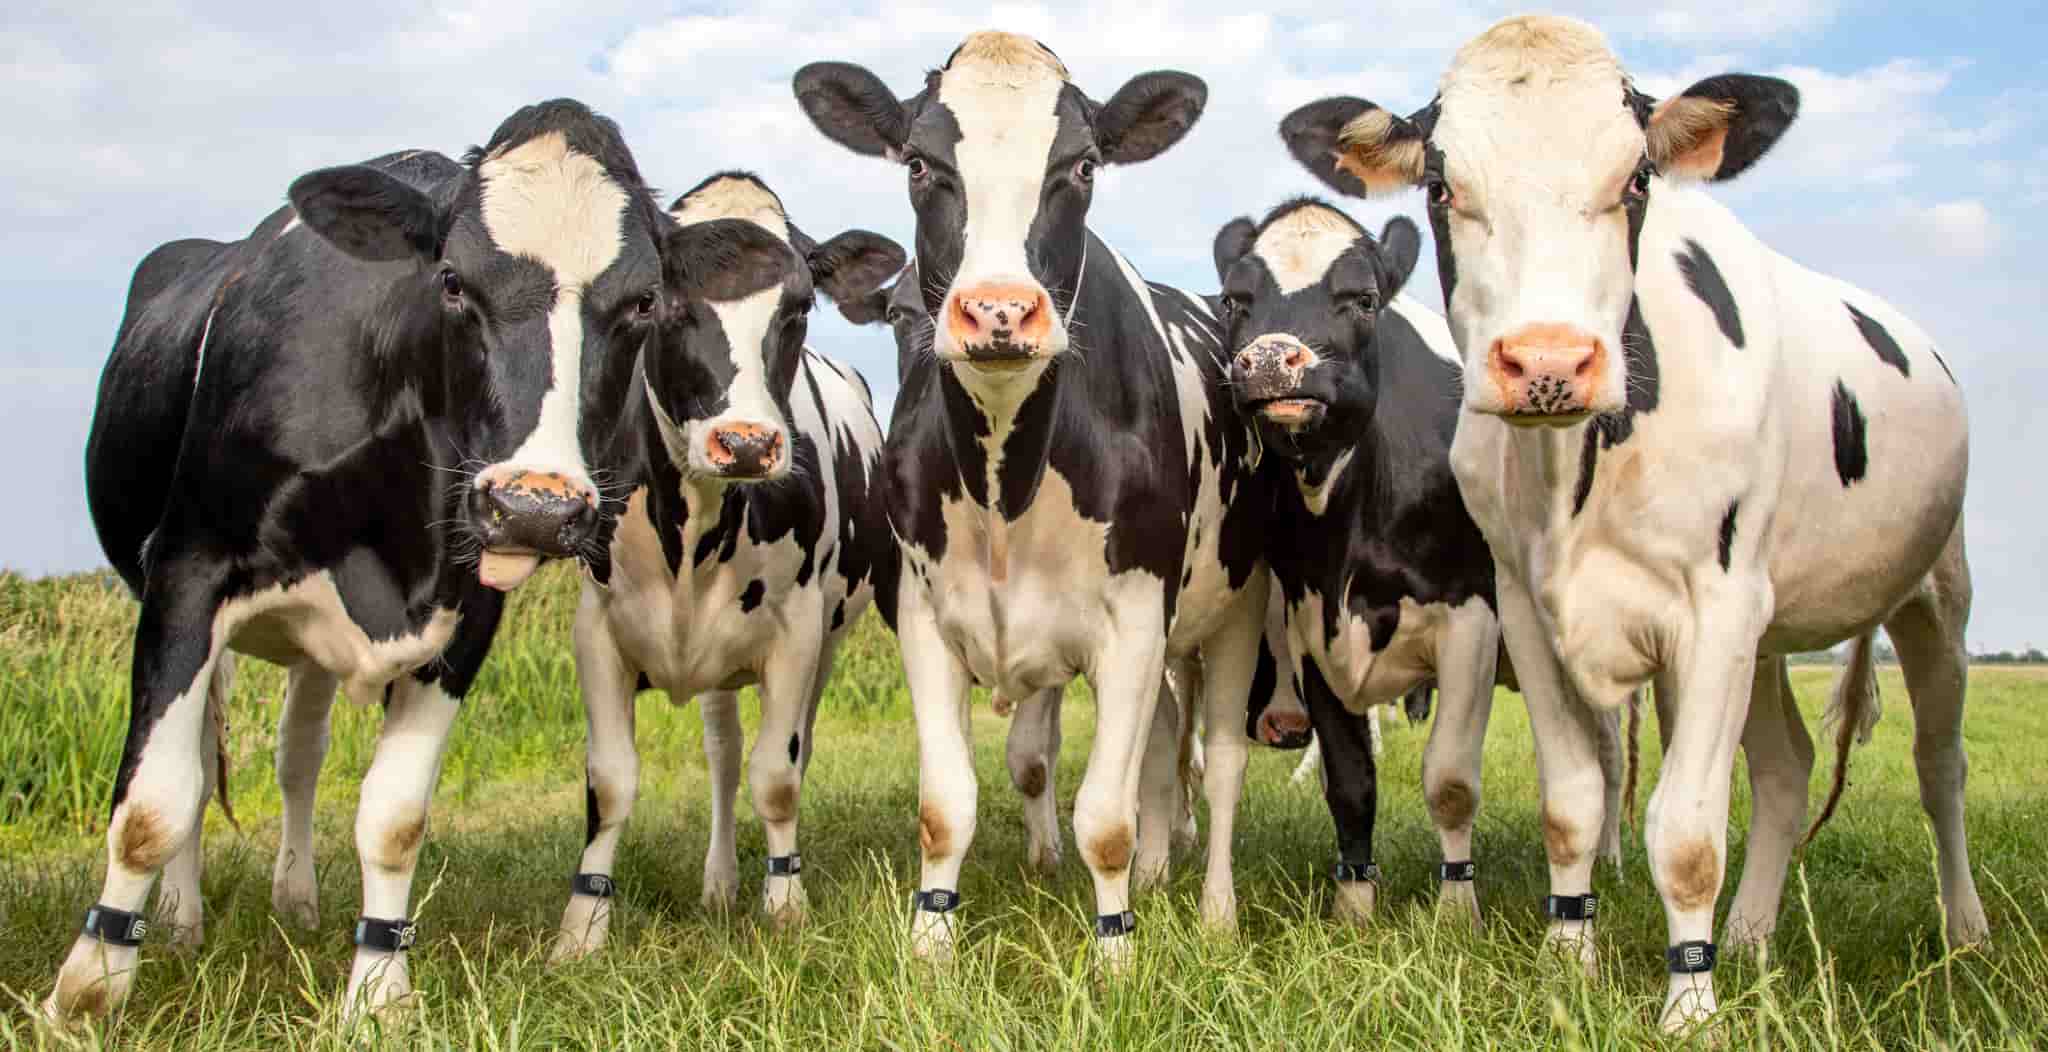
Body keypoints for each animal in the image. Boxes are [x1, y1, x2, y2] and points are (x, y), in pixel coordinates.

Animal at [56, 100, 666, 1022]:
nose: (536, 506)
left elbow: (395, 816)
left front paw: (378, 990)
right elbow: (150, 804)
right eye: (451, 281)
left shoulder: (466, 611)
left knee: (296, 756)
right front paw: (87, 989)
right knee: (200, 762)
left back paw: (297, 899)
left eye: (642, 302)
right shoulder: (187, 572)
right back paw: (183, 920)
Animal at [549, 172, 904, 957]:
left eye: (800, 305)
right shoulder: (596, 627)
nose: (745, 444)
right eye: (657, 301)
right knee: (722, 755)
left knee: (779, 750)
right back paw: (718, 883)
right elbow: (610, 780)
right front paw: (581, 928)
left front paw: (786, 905)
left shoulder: (798, 631)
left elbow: (778, 775)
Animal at [794, 32, 1274, 962]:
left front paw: (1117, 956)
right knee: (1165, 745)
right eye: (919, 162)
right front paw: (931, 949)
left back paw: (1216, 911)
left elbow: (1106, 820)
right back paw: (1160, 874)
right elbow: (946, 806)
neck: (1004, 482)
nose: (999, 311)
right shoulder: (923, 617)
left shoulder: (1135, 622)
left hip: (1236, 606)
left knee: (1223, 761)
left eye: (1082, 165)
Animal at [1279, 14, 1983, 1029]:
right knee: (1786, 769)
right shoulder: (1526, 608)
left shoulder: (1716, 609)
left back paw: (1963, 930)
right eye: (1444, 185)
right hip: (1770, 633)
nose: (1547, 361)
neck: (1574, 473)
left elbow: (1686, 832)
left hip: (1935, 598)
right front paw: (1567, 963)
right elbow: (1571, 800)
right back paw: (1751, 934)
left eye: (1637, 180)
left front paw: (1690, 1007)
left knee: (1940, 764)